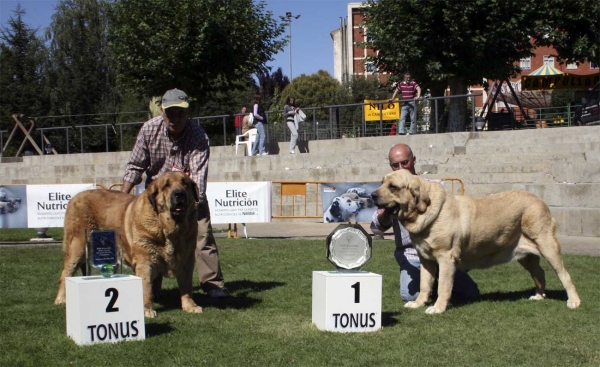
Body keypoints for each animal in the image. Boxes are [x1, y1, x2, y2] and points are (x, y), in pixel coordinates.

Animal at [52, 172, 202, 320]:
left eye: (185, 184)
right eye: (167, 185)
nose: (179, 193)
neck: (171, 229)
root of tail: (74, 197)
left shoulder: (187, 260)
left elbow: (186, 286)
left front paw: (190, 306)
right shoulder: (145, 262)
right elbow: (146, 287)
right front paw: (147, 309)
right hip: (77, 247)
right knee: (65, 273)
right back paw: (61, 299)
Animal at [370, 171, 580, 314]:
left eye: (392, 187)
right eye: (381, 182)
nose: (372, 195)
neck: (424, 211)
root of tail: (540, 200)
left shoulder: (446, 258)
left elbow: (442, 286)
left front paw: (437, 308)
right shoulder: (426, 260)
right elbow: (425, 284)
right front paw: (418, 303)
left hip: (547, 245)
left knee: (564, 274)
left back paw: (574, 301)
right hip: (526, 256)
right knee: (539, 273)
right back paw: (539, 296)